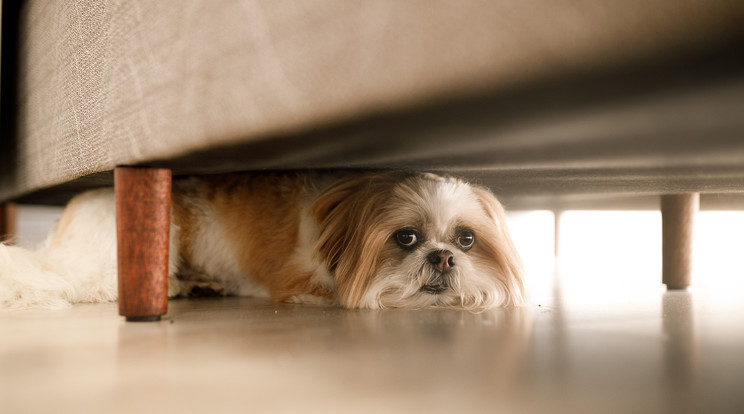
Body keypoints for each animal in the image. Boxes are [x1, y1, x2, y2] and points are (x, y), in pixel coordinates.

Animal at [0, 171, 528, 310]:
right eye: (407, 237)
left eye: (465, 239)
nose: (442, 258)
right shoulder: (301, 278)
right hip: (140, 246)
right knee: (90, 285)